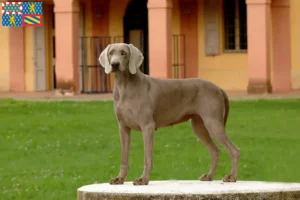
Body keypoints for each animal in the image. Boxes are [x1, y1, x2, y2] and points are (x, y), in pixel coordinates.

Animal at [99, 43, 240, 185]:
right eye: (111, 53)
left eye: (124, 53)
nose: (115, 64)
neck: (124, 86)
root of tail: (219, 88)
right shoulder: (123, 127)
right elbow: (124, 156)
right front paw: (120, 178)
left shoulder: (147, 126)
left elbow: (147, 157)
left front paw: (143, 179)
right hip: (199, 126)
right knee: (215, 151)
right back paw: (209, 176)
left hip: (213, 122)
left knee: (234, 150)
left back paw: (231, 176)